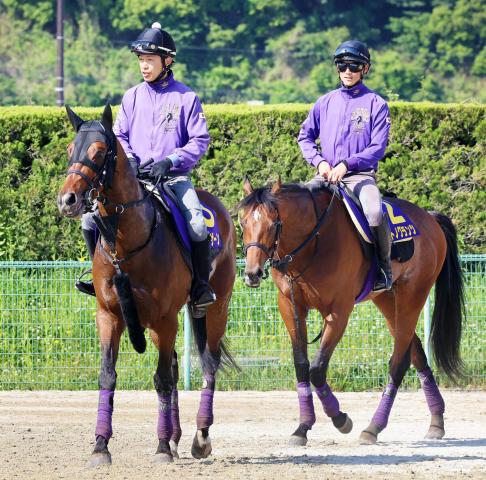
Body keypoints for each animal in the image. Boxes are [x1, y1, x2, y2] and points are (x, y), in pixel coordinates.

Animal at [57, 104, 237, 464]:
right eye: (71, 150)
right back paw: (177, 436)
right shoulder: (109, 316)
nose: (68, 199)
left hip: (216, 309)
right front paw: (101, 444)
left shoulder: (164, 320)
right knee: (177, 365)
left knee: (207, 364)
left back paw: (200, 436)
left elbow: (162, 380)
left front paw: (161, 447)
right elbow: (108, 375)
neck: (127, 244)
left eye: (99, 152)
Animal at [239, 176, 464, 446]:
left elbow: (317, 369)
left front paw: (340, 419)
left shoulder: (338, 313)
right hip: (388, 302)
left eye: (273, 224)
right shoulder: (290, 307)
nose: (252, 273)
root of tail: (429, 218)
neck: (314, 241)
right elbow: (302, 366)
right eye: (243, 222)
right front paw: (303, 427)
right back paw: (436, 421)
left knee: (398, 363)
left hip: (412, 298)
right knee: (417, 354)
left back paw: (374, 427)